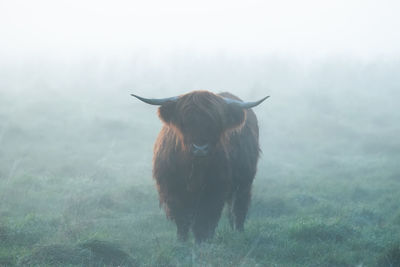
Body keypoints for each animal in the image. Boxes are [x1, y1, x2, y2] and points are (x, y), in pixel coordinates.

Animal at [132, 91, 268, 244]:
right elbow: (182, 218)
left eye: (215, 122)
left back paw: (239, 233)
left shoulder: (214, 190)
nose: (200, 148)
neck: (195, 168)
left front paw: (202, 242)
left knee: (239, 207)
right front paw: (182, 241)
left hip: (244, 182)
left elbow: (204, 219)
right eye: (184, 122)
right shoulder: (172, 190)